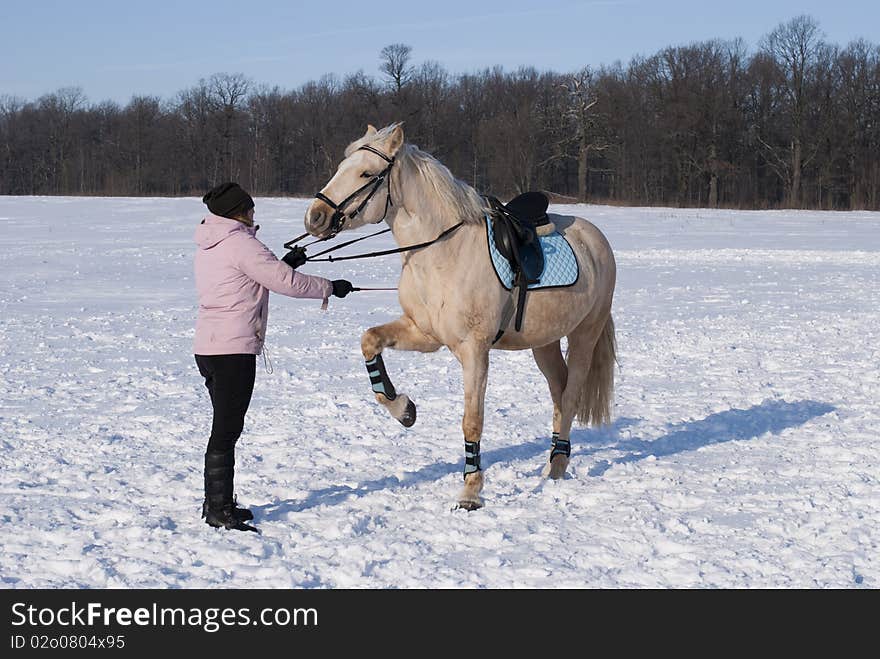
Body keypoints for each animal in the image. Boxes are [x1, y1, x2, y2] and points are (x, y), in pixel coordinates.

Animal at [306, 124, 616, 510]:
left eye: (365, 173)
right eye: (341, 167)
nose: (315, 216)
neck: (441, 251)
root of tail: (596, 238)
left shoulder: (474, 351)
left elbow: (472, 421)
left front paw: (471, 492)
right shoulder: (423, 334)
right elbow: (370, 342)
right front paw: (403, 409)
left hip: (585, 335)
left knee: (571, 396)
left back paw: (557, 467)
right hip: (544, 342)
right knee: (559, 394)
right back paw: (554, 462)